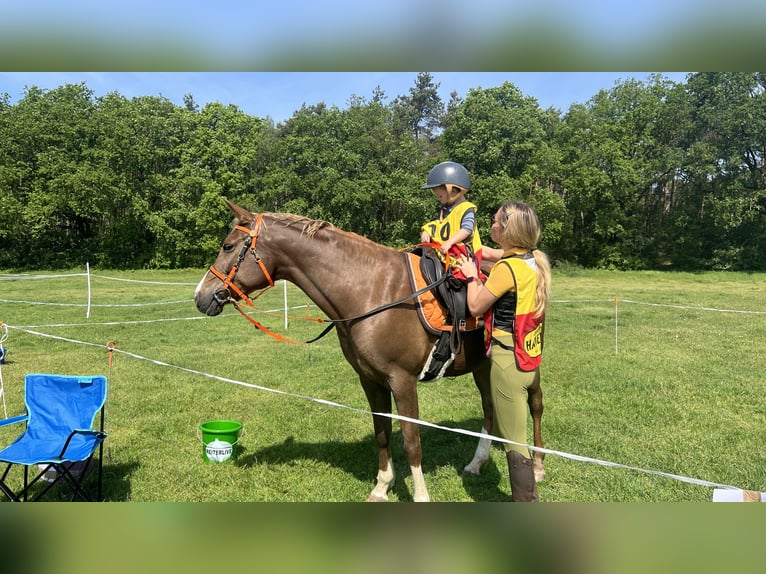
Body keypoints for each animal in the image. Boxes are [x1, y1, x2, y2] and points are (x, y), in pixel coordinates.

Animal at [196, 200, 544, 502]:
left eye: (228, 246)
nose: (201, 297)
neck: (372, 291)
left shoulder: (402, 381)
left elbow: (411, 441)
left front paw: (420, 496)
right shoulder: (371, 380)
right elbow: (382, 432)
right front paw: (382, 487)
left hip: (527, 360)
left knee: (535, 405)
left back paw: (538, 466)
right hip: (483, 365)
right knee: (489, 409)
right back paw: (476, 463)